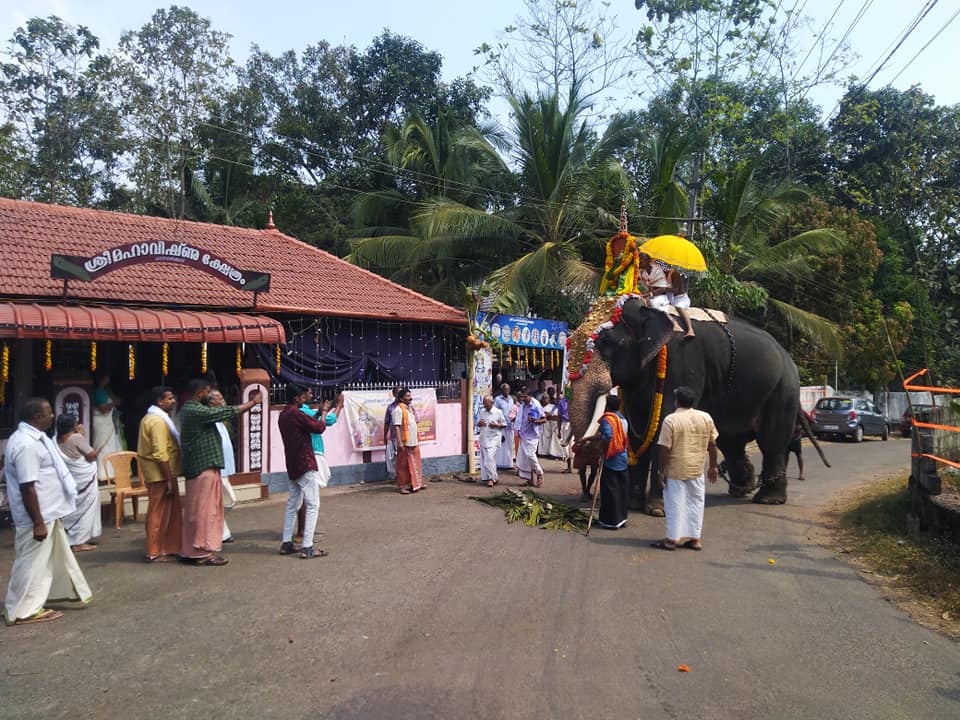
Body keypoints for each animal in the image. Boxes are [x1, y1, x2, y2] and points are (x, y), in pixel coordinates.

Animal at [568, 298, 828, 512]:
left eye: (606, 341)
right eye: (569, 341)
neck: (648, 310)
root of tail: (790, 359)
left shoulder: (682, 364)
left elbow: (664, 426)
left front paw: (657, 510)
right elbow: (636, 433)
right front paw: (633, 505)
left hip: (782, 390)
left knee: (771, 442)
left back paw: (768, 499)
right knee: (732, 442)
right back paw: (743, 489)